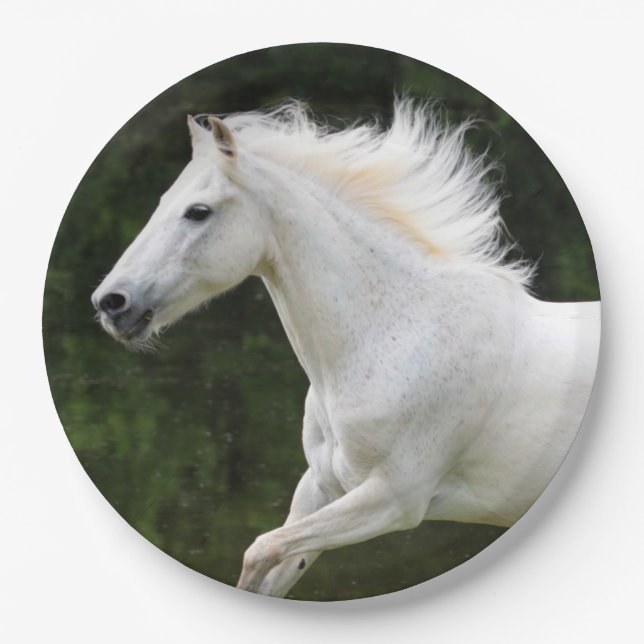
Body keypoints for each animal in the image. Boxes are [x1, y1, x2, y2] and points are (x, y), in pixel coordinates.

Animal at [91, 100, 600, 598]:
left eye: (198, 211)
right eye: (162, 203)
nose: (111, 304)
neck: (389, 337)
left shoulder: (391, 501)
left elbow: (260, 550)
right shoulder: (321, 486)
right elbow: (268, 566)